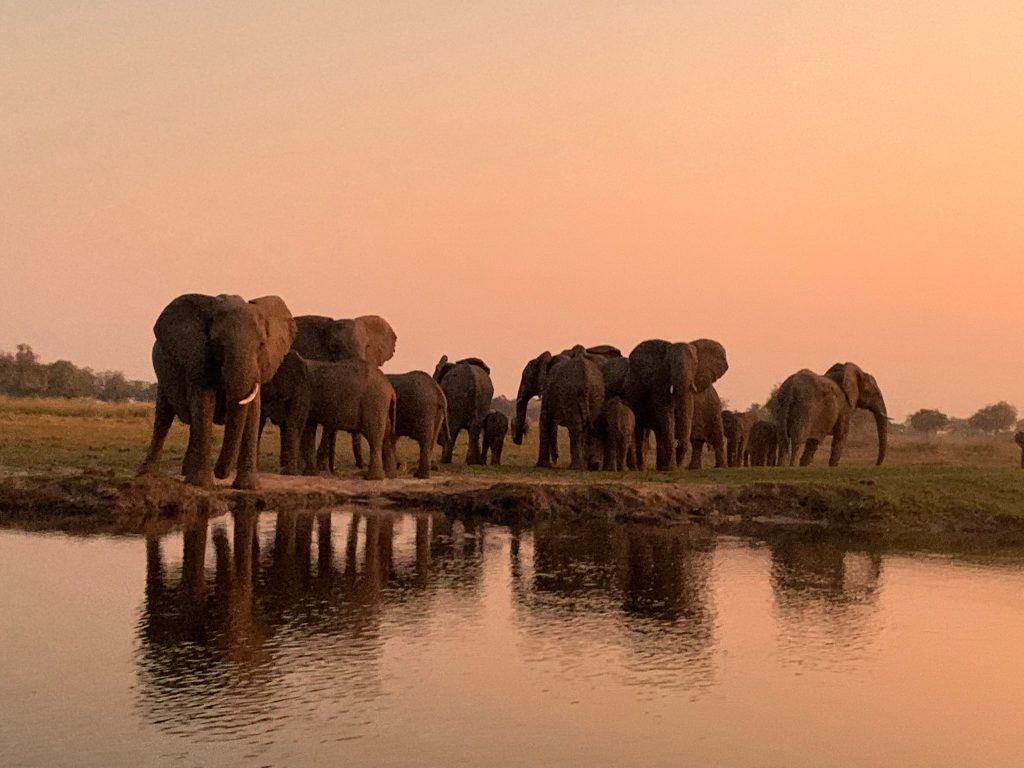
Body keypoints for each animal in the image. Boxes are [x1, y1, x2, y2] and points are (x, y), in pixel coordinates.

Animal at [137, 293, 296, 490]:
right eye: (219, 344)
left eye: (261, 345)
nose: (220, 474)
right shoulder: (199, 357)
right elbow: (204, 403)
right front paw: (200, 484)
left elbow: (253, 409)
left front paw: (248, 487)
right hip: (162, 372)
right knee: (163, 418)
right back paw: (147, 474)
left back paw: (185, 472)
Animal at [261, 351, 397, 479]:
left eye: (270, 380)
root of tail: (391, 390)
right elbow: (309, 429)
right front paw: (310, 474)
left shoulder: (303, 392)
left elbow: (296, 424)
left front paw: (287, 473)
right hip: (382, 407)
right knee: (386, 437)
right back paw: (390, 475)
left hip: (374, 404)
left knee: (374, 438)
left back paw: (372, 478)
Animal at [623, 339, 729, 471]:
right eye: (668, 364)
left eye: (696, 364)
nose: (678, 466)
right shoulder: (659, 381)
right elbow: (665, 412)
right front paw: (669, 468)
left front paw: (669, 467)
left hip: (713, 406)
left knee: (715, 437)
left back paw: (719, 468)